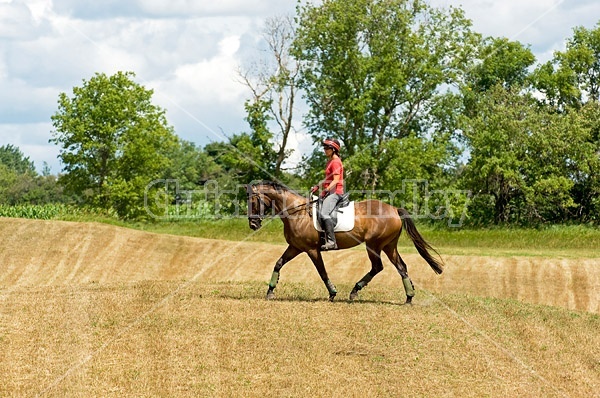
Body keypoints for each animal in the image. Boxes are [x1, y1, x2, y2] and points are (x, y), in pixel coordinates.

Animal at [245, 182, 446, 304]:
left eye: (253, 201)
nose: (253, 225)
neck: (297, 212)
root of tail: (395, 209)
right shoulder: (295, 247)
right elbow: (278, 263)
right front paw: (270, 291)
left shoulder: (311, 250)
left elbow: (322, 271)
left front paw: (332, 293)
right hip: (389, 246)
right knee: (401, 267)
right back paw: (409, 296)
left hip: (374, 245)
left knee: (378, 267)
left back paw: (355, 291)